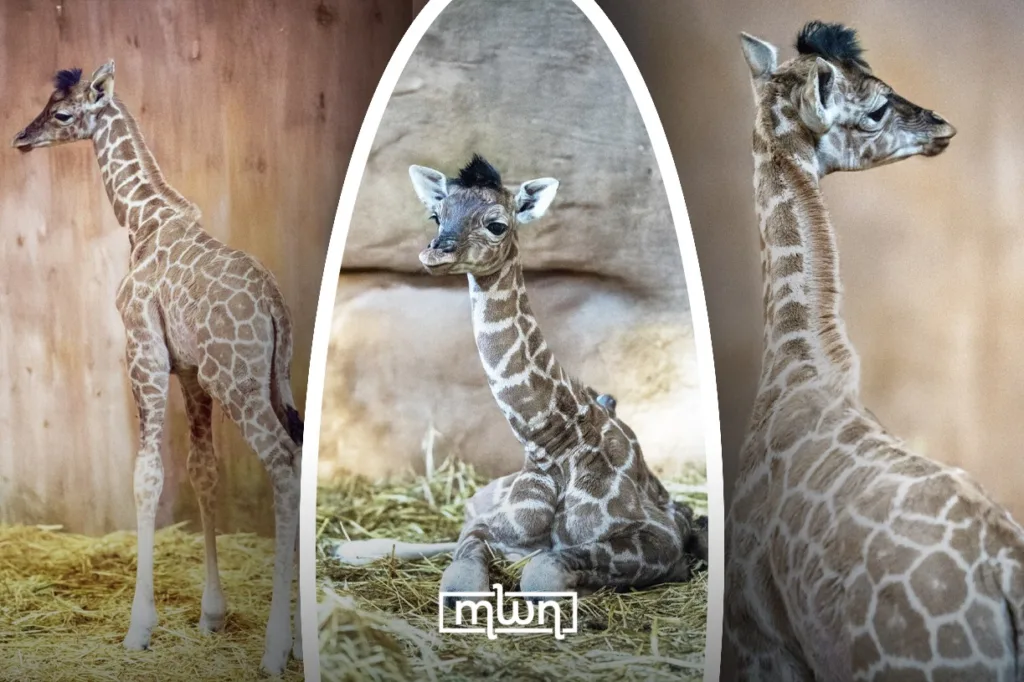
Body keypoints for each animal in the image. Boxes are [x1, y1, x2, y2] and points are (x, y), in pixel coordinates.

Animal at [12, 61, 302, 675]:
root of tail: (274, 306)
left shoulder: (142, 350)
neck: (142, 222)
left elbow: (147, 476)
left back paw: (275, 648)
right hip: (268, 378)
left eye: (63, 113)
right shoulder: (190, 372)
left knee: (284, 464)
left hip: (240, 383)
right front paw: (212, 615)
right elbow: (203, 471)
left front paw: (139, 628)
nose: (22, 138)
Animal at [333, 155, 707, 600]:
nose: (434, 253)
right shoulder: (487, 526)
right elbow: (463, 579)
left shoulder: (658, 538)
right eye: (436, 215)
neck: (554, 448)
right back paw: (348, 548)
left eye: (497, 224)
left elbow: (542, 572)